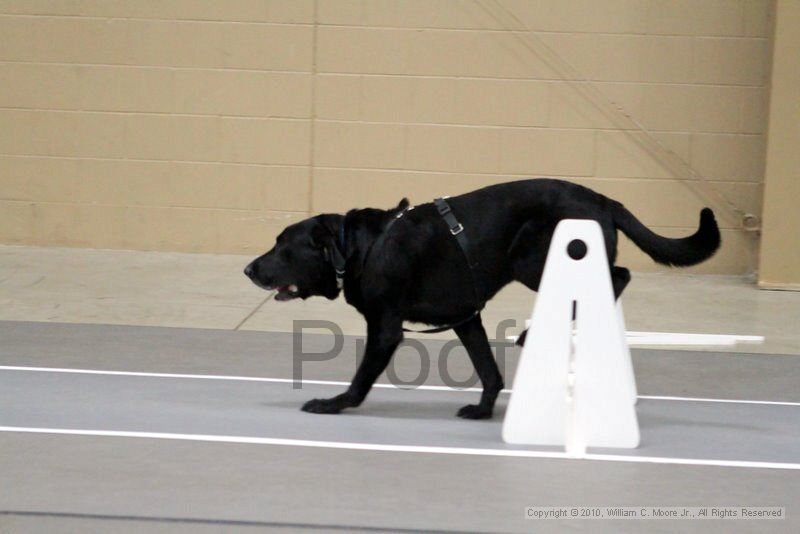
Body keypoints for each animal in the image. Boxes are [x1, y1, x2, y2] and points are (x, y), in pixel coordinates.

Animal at [244, 178, 720, 420]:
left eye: (282, 246)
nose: (248, 269)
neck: (360, 247)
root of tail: (606, 200)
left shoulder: (384, 329)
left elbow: (362, 378)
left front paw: (334, 405)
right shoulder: (465, 318)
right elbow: (488, 370)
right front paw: (484, 409)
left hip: (535, 257)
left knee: (618, 275)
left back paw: (536, 328)